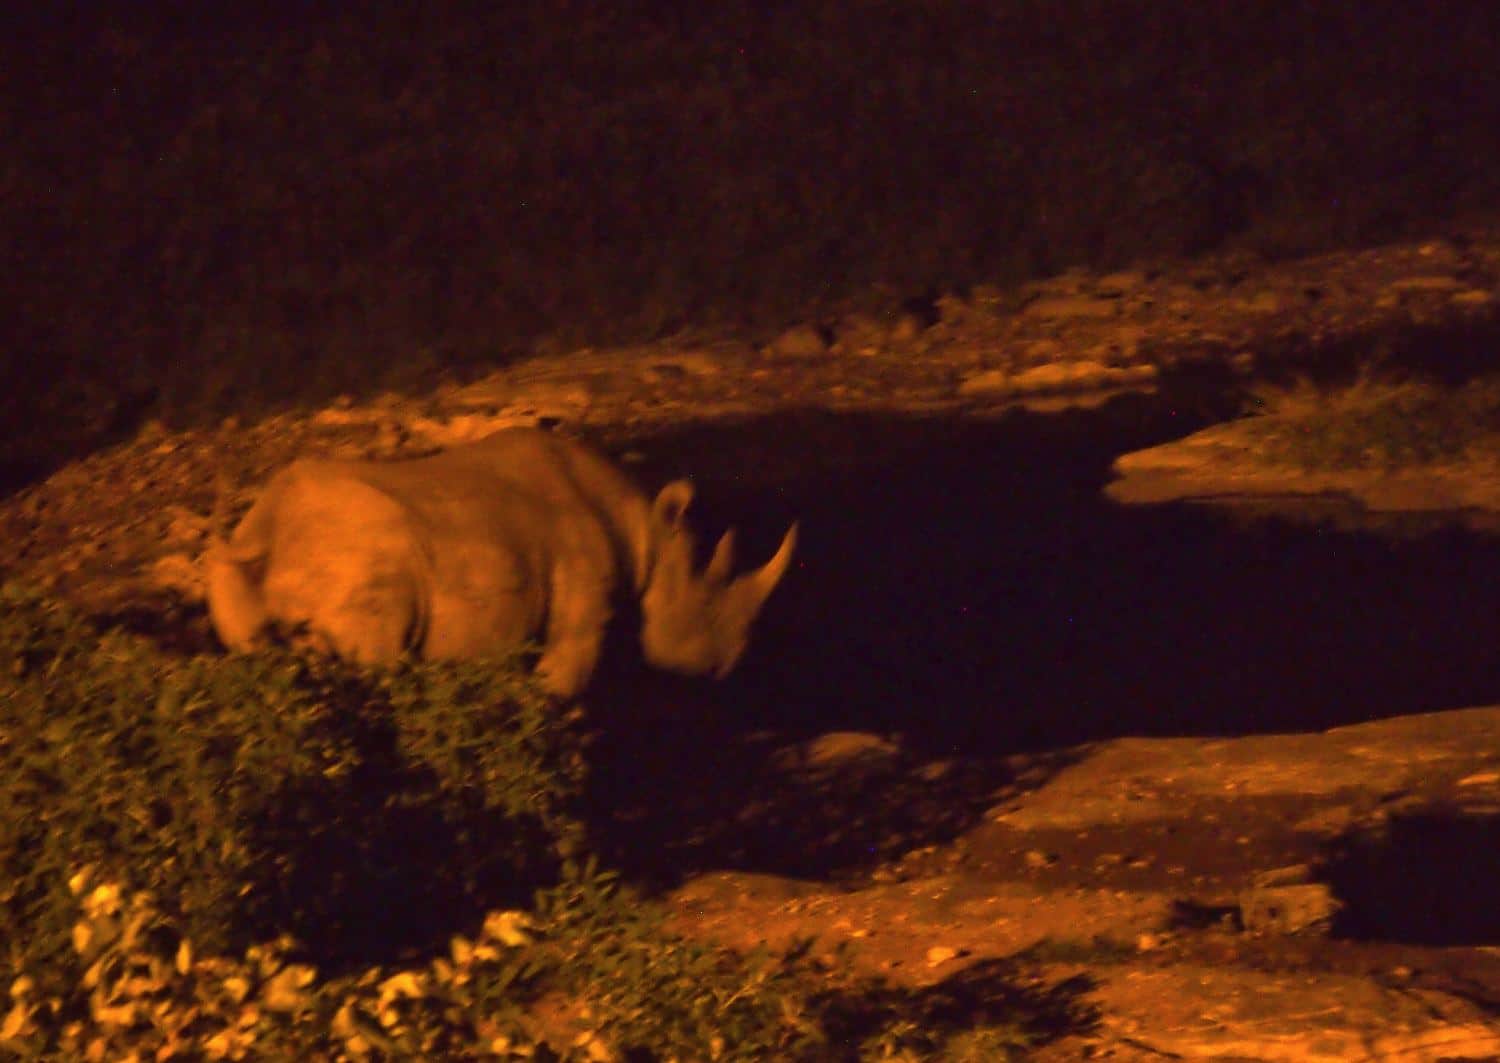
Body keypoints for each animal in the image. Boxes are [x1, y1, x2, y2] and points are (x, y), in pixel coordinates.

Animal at [208, 425, 810, 692]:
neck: (649, 536)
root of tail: (265, 533)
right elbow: (564, 686)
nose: (733, 661)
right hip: (361, 561)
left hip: (236, 575)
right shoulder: (583, 616)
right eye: (707, 604)